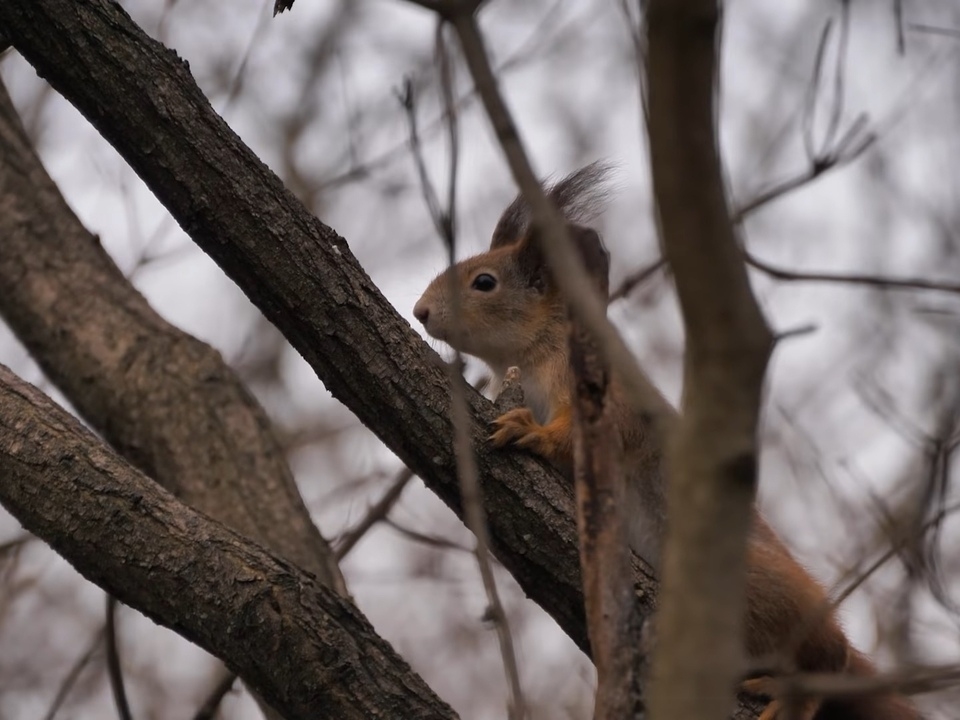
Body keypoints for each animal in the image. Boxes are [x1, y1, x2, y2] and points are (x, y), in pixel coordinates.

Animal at [412, 163, 924, 720]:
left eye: (484, 282)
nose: (420, 311)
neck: (532, 356)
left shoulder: (603, 392)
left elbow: (589, 436)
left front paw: (532, 431)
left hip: (753, 587)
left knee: (828, 658)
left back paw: (795, 692)